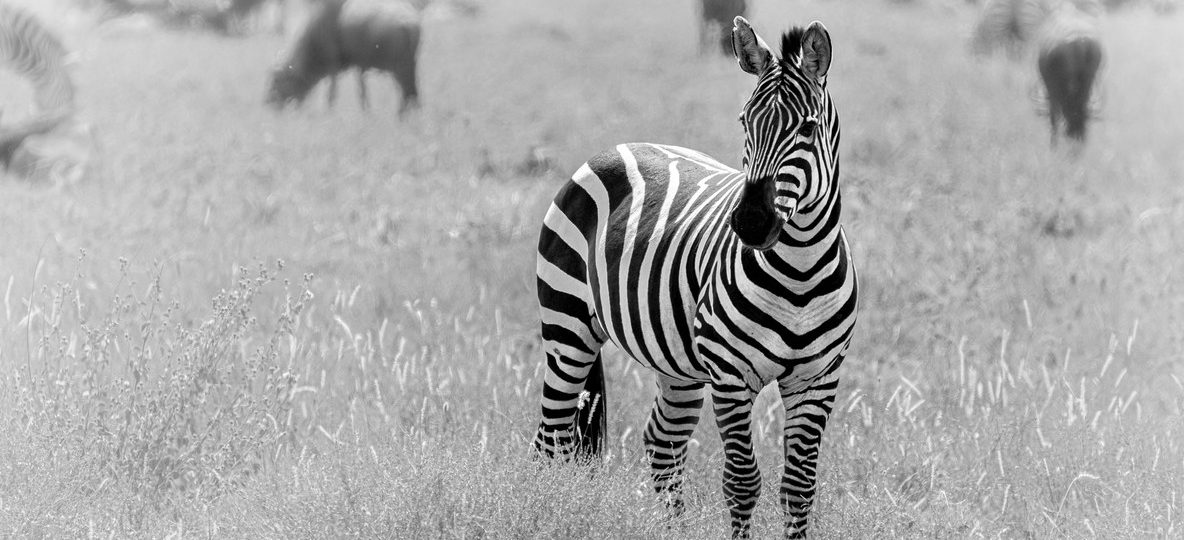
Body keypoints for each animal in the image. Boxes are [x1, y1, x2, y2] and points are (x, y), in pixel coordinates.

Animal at [531, 16, 856, 539]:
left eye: (808, 128)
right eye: (745, 122)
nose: (750, 223)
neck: (800, 273)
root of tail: (618, 145)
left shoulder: (818, 380)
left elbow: (799, 488)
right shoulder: (730, 375)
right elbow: (742, 481)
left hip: (676, 364)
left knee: (661, 443)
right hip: (567, 326)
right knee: (552, 438)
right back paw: (544, 511)